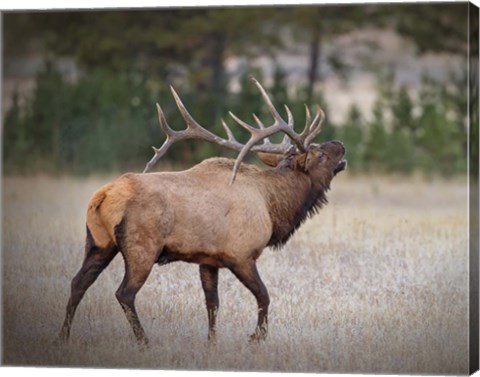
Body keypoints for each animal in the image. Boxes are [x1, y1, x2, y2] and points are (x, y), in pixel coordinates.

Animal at [59, 76, 344, 344]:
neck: (273, 206)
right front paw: (257, 337)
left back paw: (63, 337)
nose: (340, 144)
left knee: (77, 283)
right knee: (124, 293)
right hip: (142, 247)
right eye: (319, 154)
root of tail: (103, 195)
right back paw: (144, 342)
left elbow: (212, 304)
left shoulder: (208, 259)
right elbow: (264, 296)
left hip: (99, 243)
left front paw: (212, 344)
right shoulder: (241, 254)